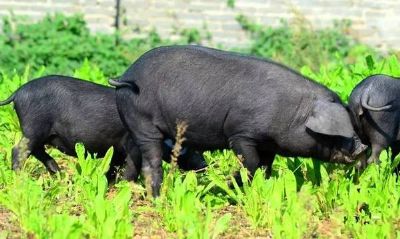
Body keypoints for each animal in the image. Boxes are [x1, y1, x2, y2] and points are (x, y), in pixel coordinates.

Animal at [0, 75, 206, 180]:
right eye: (193, 148)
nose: (205, 165)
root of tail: (18, 92)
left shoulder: (116, 150)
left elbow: (113, 167)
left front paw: (109, 183)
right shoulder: (131, 145)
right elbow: (132, 167)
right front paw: (128, 185)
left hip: (39, 133)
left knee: (36, 151)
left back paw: (58, 174)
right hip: (34, 127)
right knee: (18, 150)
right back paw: (21, 179)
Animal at [111, 44, 368, 196]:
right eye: (339, 132)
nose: (363, 147)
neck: (294, 113)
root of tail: (126, 75)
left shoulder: (269, 144)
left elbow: (265, 166)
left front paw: (259, 187)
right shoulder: (241, 133)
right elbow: (251, 162)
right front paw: (230, 184)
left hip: (134, 124)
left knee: (133, 156)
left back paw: (126, 188)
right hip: (143, 122)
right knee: (151, 161)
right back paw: (157, 197)